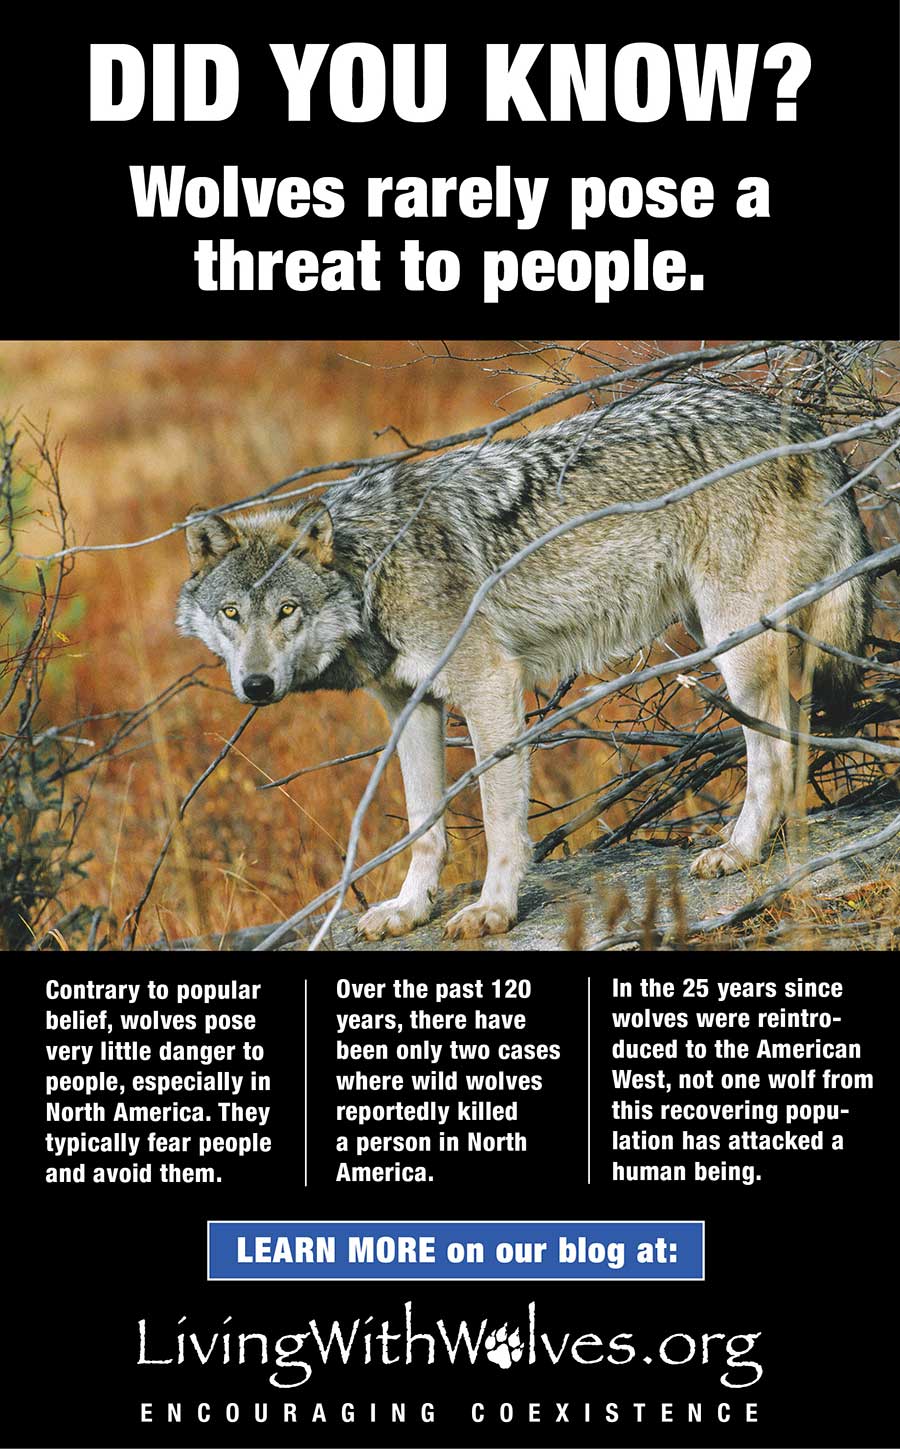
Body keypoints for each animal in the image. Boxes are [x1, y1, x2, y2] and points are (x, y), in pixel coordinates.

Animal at [176, 383, 872, 940]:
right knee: (798, 737)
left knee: (774, 753)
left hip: (734, 649)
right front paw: (409, 909)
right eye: (231, 613)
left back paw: (741, 851)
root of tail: (807, 426)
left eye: (288, 610)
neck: (371, 567)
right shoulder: (412, 708)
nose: (256, 685)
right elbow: (424, 824)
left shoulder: (489, 688)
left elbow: (497, 817)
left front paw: (493, 910)